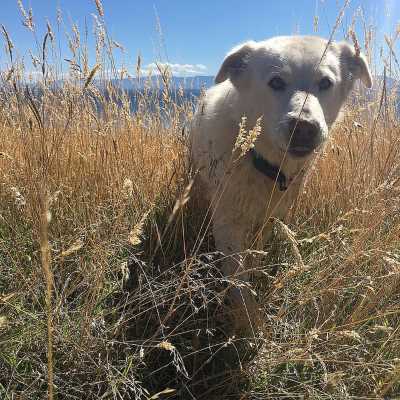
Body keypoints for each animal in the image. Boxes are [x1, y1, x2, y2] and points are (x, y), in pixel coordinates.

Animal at [190, 35, 372, 328]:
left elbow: (255, 255)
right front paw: (250, 327)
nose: (304, 127)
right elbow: (240, 285)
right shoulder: (228, 225)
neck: (262, 162)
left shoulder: (270, 215)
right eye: (276, 82)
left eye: (325, 83)